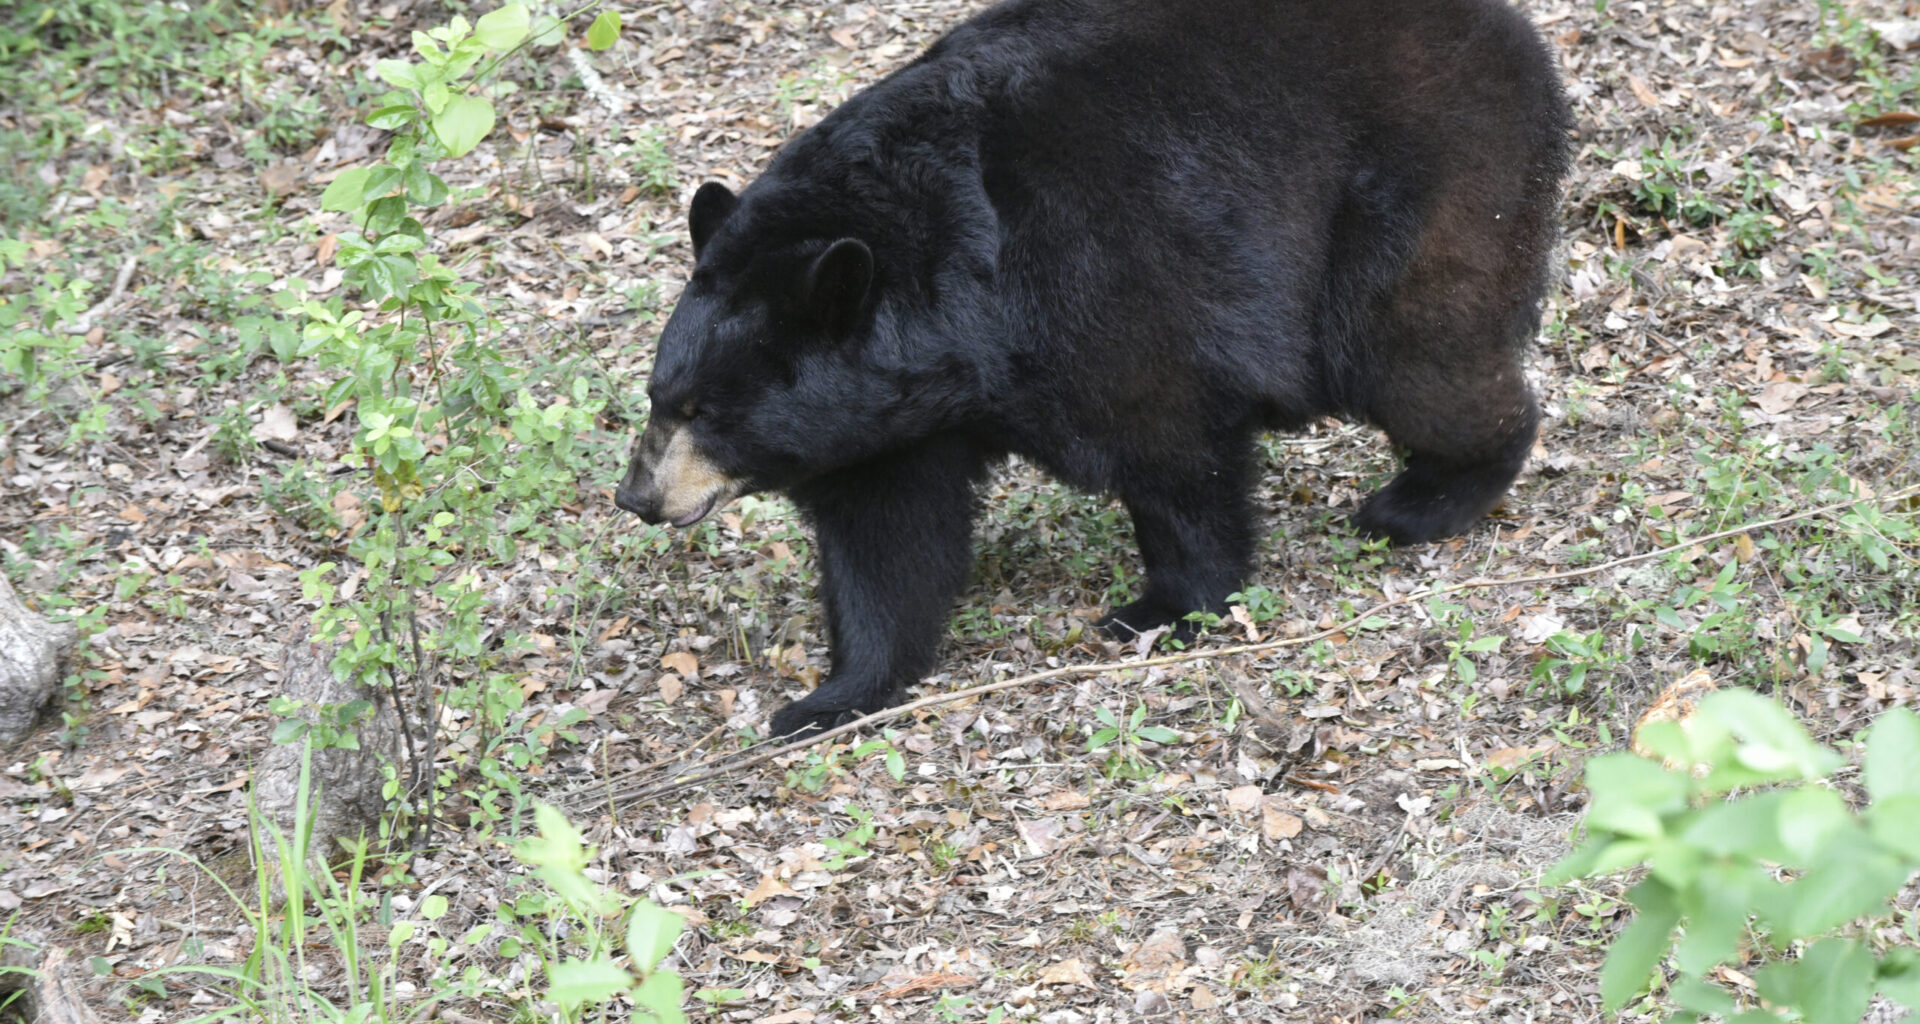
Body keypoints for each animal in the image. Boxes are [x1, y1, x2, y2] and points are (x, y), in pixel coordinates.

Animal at [615, 0, 1571, 739]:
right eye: (661, 396)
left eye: (703, 411)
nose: (637, 495)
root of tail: (1512, 31)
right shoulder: (891, 419)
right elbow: (886, 541)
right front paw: (828, 697)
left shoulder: (1098, 280)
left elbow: (1170, 449)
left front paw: (1162, 609)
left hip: (1426, 183)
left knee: (1414, 356)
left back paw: (1422, 501)